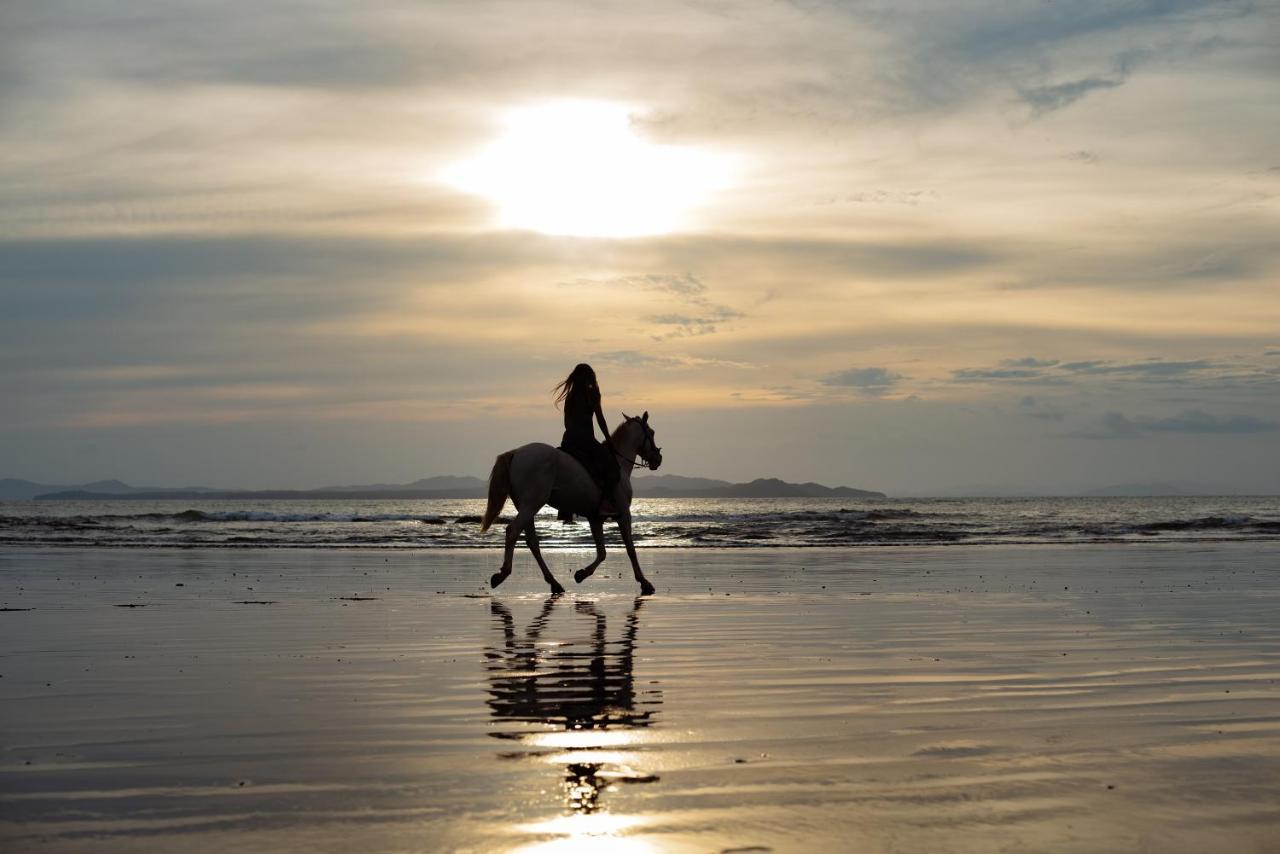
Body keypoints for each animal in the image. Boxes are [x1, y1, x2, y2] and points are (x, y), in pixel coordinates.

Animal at [478, 412, 660, 594]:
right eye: (652, 432)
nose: (658, 459)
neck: (619, 463)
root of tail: (515, 453)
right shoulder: (623, 514)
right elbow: (630, 549)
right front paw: (644, 582)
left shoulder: (595, 519)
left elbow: (602, 552)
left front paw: (581, 574)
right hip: (532, 504)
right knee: (513, 531)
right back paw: (502, 575)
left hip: (525, 506)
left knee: (532, 542)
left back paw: (554, 583)